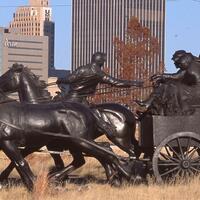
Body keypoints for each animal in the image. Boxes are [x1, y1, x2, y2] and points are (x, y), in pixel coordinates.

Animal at [0, 63, 139, 181]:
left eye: (6, 75)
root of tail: (129, 113)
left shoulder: (40, 144)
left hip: (115, 138)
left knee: (128, 152)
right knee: (104, 151)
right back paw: (115, 175)